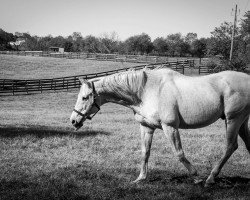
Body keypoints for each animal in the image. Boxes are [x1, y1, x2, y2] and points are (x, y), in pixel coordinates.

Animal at [69, 68, 250, 187]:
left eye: (84, 97)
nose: (74, 121)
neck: (146, 91)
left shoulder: (170, 127)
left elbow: (179, 153)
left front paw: (196, 176)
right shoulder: (146, 127)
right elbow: (145, 152)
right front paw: (141, 178)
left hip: (233, 120)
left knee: (230, 146)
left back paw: (210, 178)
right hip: (241, 122)